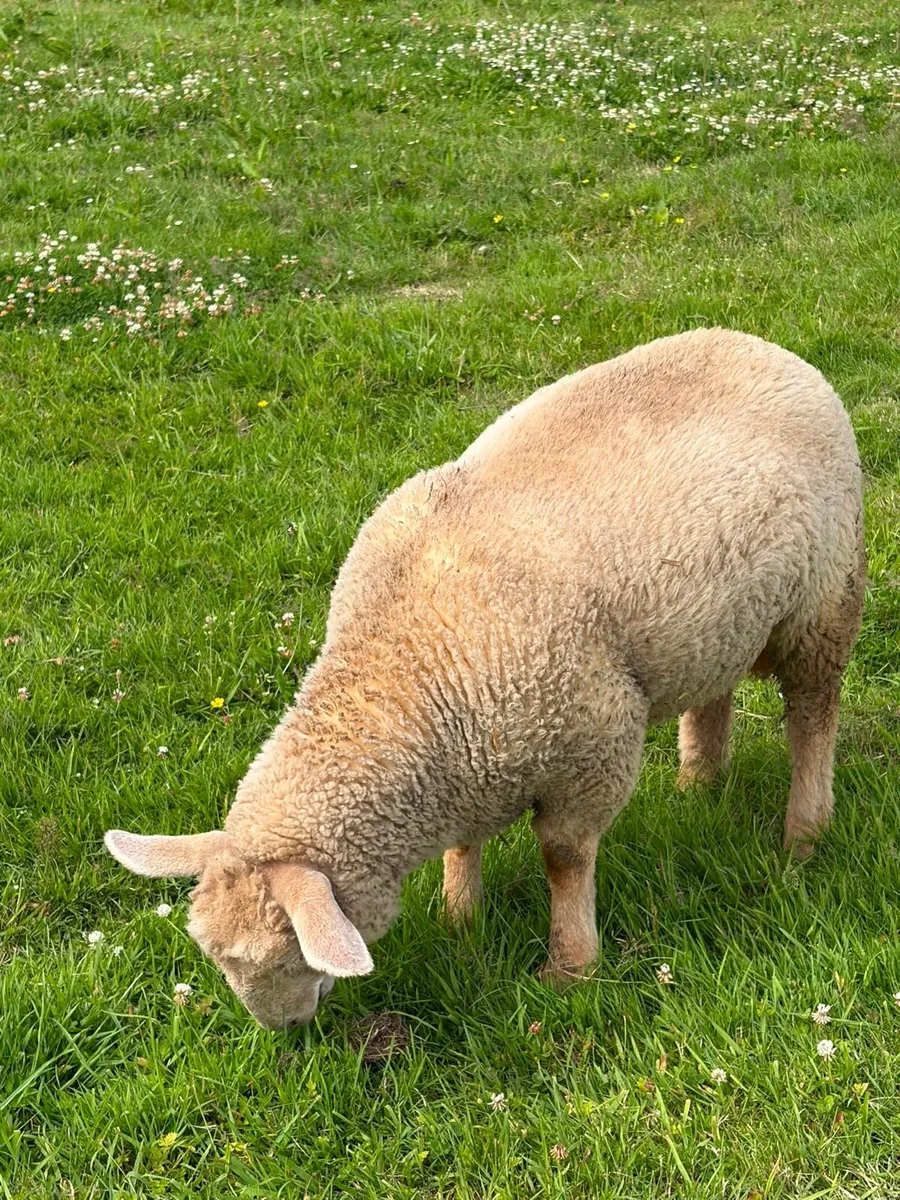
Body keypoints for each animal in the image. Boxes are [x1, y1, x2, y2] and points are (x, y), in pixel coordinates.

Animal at [106, 327, 865, 1029]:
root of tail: (760, 344)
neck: (403, 673)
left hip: (824, 599)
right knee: (714, 695)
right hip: (717, 624)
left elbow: (564, 857)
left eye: (285, 955)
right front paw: (459, 918)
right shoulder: (472, 754)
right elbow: (462, 843)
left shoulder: (592, 741)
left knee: (813, 714)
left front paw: (570, 968)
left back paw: (803, 835)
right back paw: (698, 786)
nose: (284, 1032)